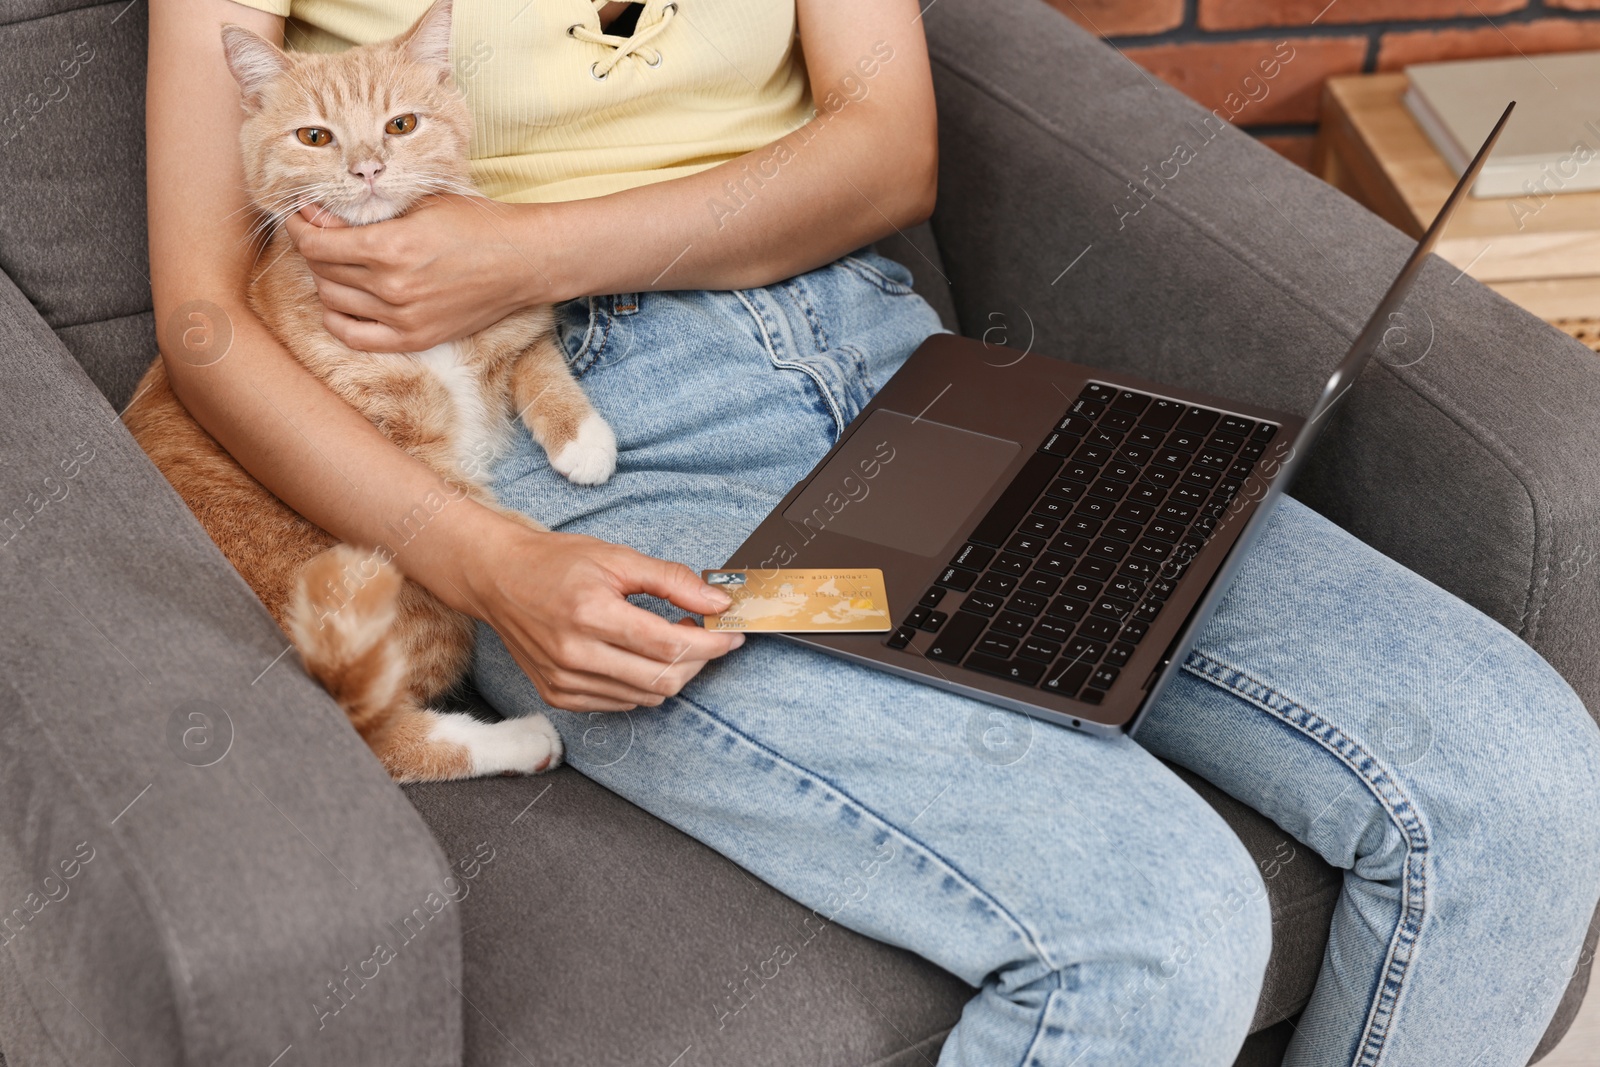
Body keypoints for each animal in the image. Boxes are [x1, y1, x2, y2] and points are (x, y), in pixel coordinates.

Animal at [126, 0, 604, 783]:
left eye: (401, 124)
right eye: (315, 137)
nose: (369, 167)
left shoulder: (505, 315)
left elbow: (534, 354)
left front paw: (584, 440)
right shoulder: (405, 459)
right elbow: (480, 517)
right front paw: (572, 581)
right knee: (387, 738)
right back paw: (523, 739)